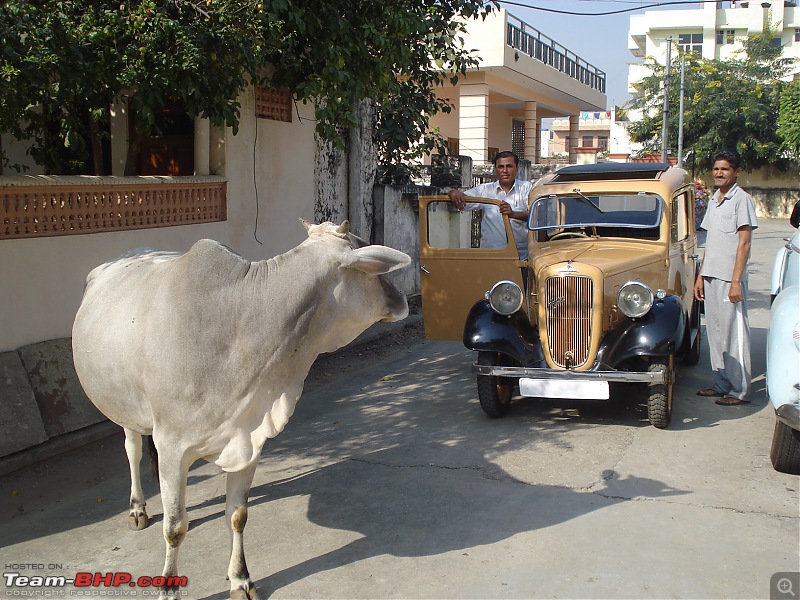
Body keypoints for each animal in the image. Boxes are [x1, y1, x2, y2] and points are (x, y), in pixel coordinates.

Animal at [72, 221, 410, 600]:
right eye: (373, 264)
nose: (403, 300)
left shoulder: (248, 438)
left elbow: (237, 514)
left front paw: (241, 579)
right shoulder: (173, 445)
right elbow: (174, 527)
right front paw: (169, 588)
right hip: (125, 409)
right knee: (132, 450)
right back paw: (137, 508)